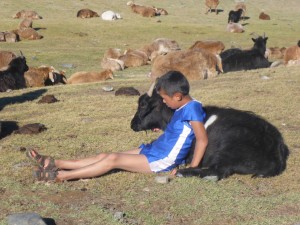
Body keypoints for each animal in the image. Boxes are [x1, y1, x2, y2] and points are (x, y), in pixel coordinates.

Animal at [131, 84, 288, 179]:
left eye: (143, 105)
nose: (132, 124)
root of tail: (276, 145)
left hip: (227, 149)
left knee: (218, 171)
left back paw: (182, 172)